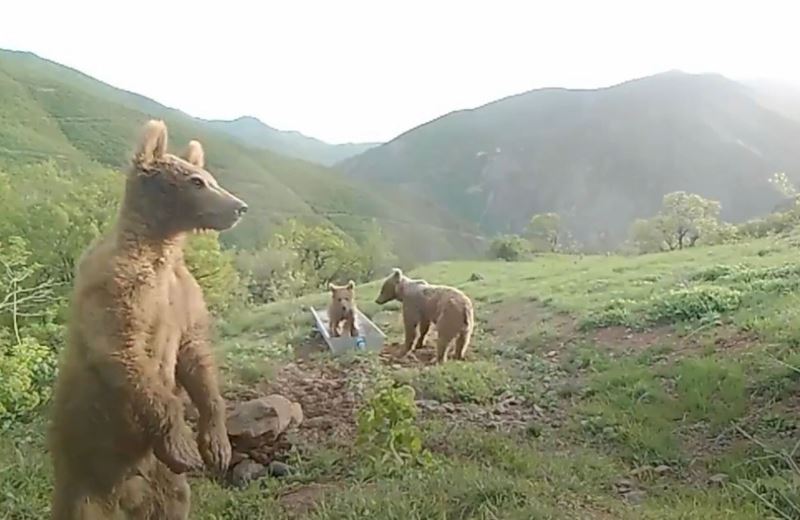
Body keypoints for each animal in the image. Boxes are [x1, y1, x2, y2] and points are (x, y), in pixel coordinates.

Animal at [48, 120, 248, 516]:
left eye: (210, 178)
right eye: (196, 182)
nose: (239, 207)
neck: (158, 250)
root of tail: (127, 493)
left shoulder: (182, 295)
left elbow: (196, 354)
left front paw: (216, 445)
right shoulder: (117, 287)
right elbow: (124, 349)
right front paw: (184, 446)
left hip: (159, 478)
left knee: (173, 501)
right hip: (85, 466)